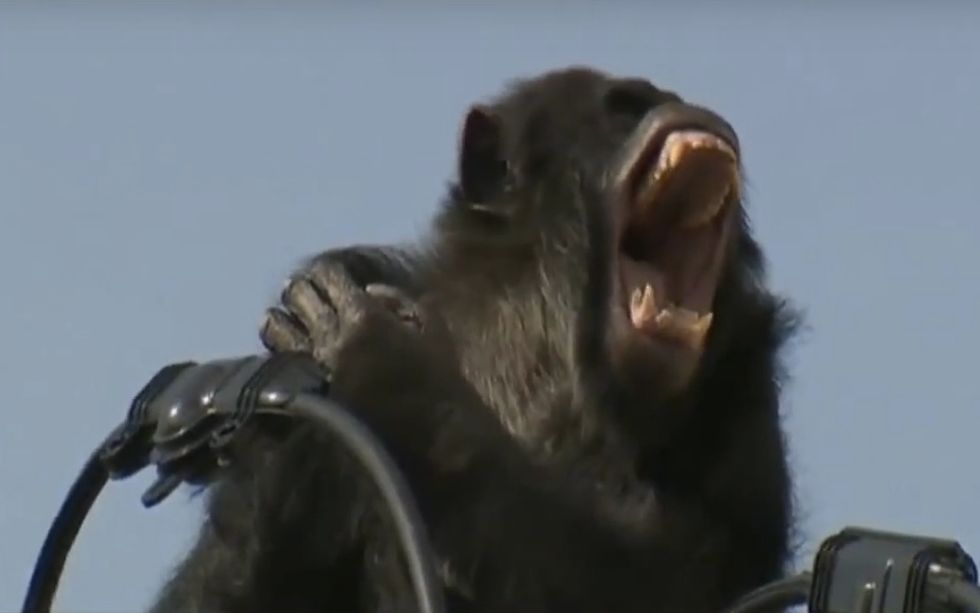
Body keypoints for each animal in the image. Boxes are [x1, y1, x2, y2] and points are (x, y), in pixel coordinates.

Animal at [148, 66, 800, 613]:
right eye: (624, 105)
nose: (687, 107)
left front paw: (386, 365)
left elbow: (672, 572)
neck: (541, 343)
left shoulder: (748, 389)